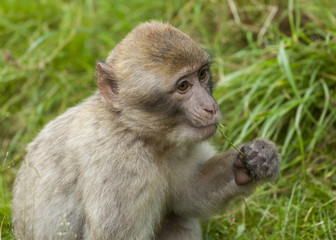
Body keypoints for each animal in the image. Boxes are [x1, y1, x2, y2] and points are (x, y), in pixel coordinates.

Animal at [11, 21, 280, 240]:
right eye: (183, 86)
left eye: (202, 74)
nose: (210, 107)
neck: (134, 130)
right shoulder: (121, 169)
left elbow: (185, 197)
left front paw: (255, 159)